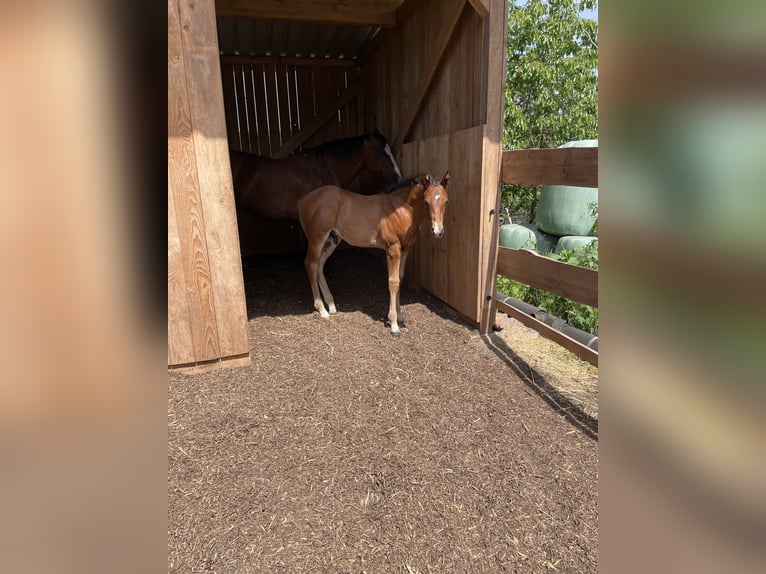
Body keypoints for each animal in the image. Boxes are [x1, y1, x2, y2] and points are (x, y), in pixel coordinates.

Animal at [298, 171, 451, 337]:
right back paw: (321, 309)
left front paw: (399, 315)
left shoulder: (405, 250)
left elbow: (400, 278)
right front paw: (394, 324)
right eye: (426, 201)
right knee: (311, 265)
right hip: (316, 239)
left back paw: (331, 305)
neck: (401, 210)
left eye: (446, 201)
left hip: (332, 240)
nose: (438, 231)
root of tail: (304, 199)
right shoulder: (392, 249)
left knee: (319, 265)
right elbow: (393, 282)